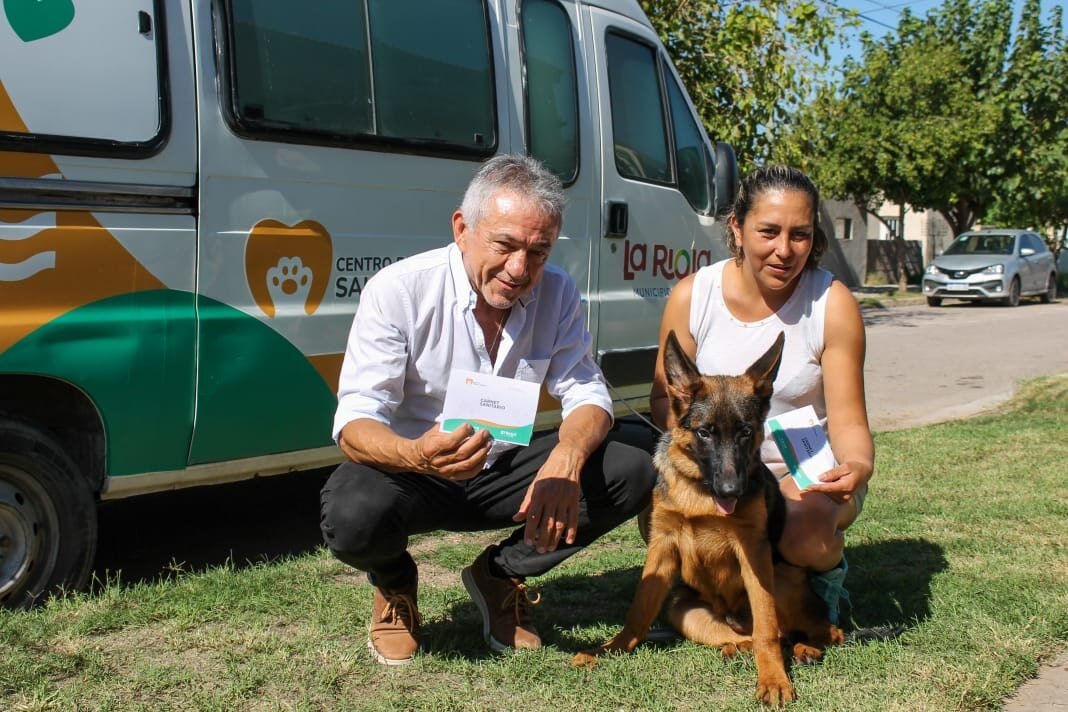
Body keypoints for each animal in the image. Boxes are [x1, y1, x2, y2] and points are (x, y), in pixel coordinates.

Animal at [576, 330, 841, 704]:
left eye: (746, 432)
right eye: (705, 432)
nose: (731, 491)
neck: (698, 496)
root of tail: (735, 618)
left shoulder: (753, 552)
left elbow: (767, 627)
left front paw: (774, 679)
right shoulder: (662, 545)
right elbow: (638, 611)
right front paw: (608, 649)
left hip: (780, 576)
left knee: (814, 630)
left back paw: (807, 648)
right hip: (682, 609)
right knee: (753, 636)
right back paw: (736, 646)